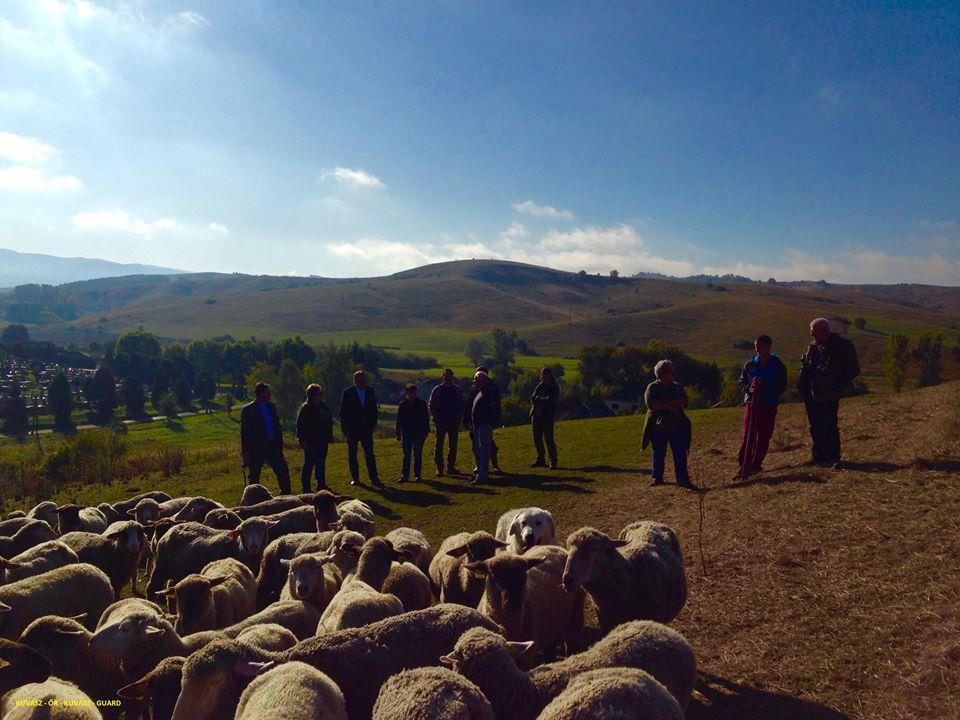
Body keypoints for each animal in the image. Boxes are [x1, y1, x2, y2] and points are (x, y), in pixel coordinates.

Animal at [145, 516, 278, 600]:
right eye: (243, 532)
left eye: (263, 529)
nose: (253, 547)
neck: (237, 547)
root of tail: (171, 530)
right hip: (161, 566)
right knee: (151, 588)